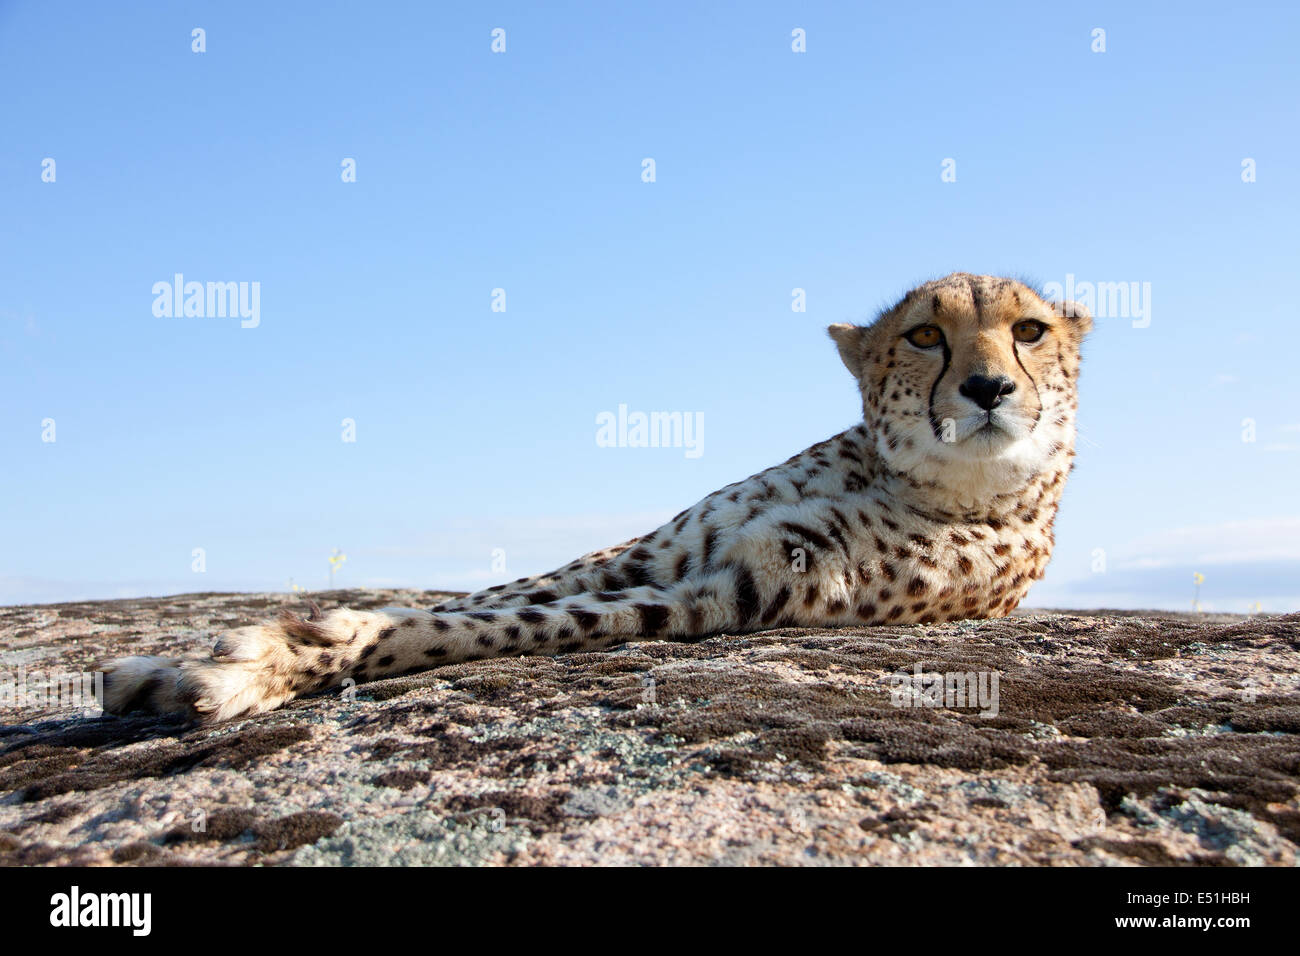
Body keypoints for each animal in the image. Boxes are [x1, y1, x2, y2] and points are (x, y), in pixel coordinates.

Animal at [102, 272, 1091, 722]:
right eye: (925, 335)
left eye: (1029, 331)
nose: (989, 389)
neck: (887, 469)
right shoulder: (657, 550)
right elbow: (474, 600)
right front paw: (244, 649)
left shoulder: (732, 592)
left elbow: (495, 625)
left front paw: (271, 662)